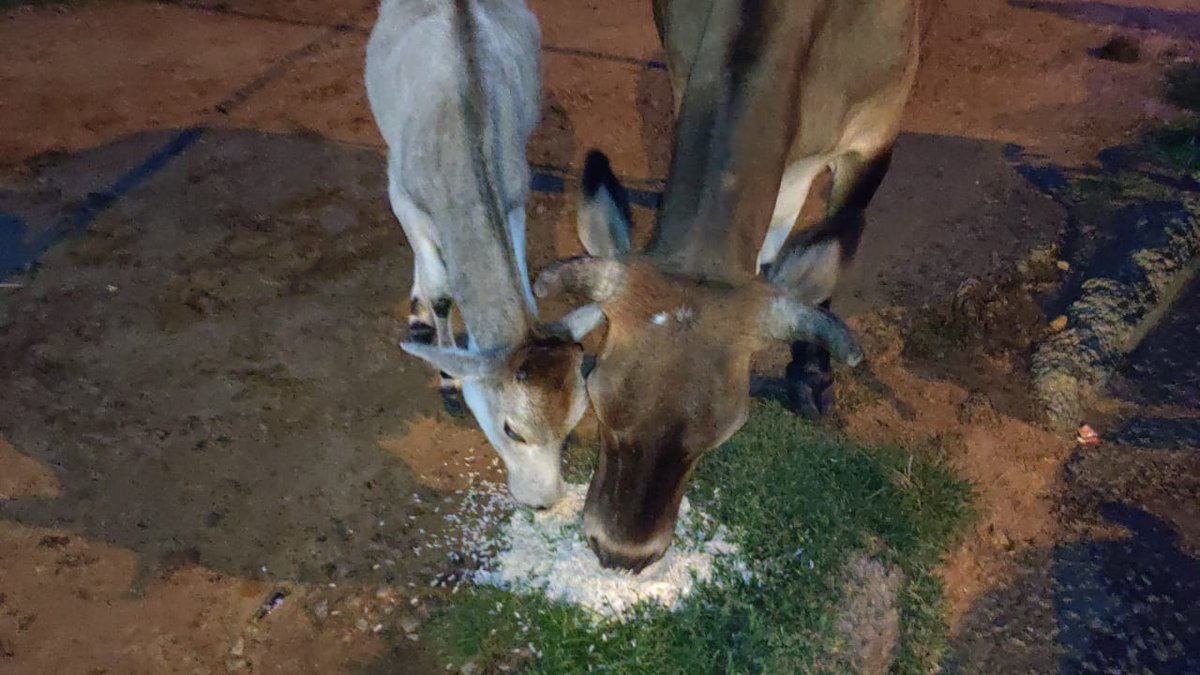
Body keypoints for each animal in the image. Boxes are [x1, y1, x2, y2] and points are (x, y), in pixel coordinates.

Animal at [365, 0, 604, 508]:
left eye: (574, 421)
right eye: (512, 430)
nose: (543, 500)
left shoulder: (515, 198)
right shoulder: (402, 194)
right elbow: (441, 291)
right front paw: (448, 380)